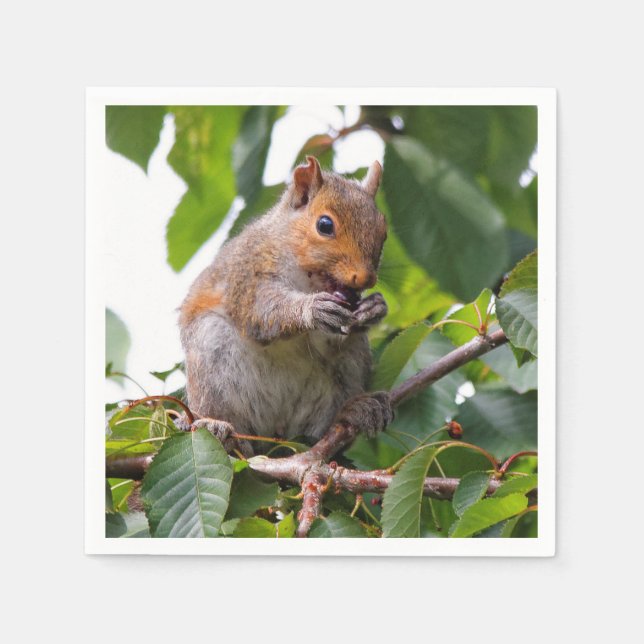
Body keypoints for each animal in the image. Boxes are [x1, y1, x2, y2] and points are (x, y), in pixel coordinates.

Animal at [178, 156, 393, 454]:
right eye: (325, 225)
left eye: (383, 232)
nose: (365, 278)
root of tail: (276, 437)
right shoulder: (249, 273)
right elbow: (261, 311)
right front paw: (311, 309)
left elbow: (328, 343)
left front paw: (375, 308)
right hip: (211, 353)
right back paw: (219, 430)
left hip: (350, 366)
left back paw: (355, 410)